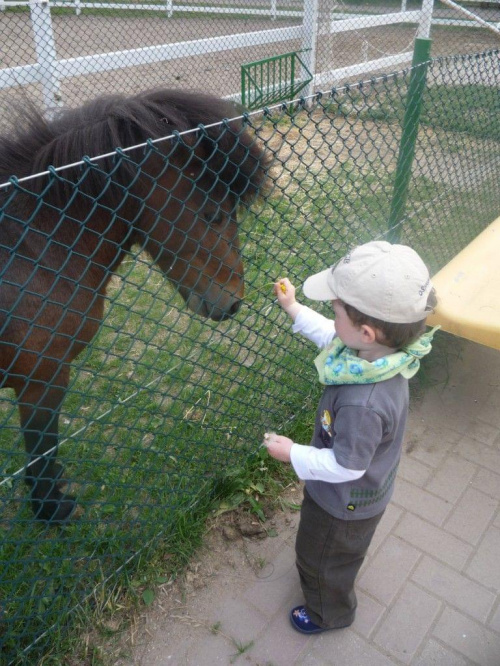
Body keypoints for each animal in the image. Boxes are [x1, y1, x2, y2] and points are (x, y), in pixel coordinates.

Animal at [0, 89, 272, 524]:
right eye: (213, 213)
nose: (232, 302)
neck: (33, 248)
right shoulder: (42, 380)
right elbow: (42, 448)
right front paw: (51, 508)